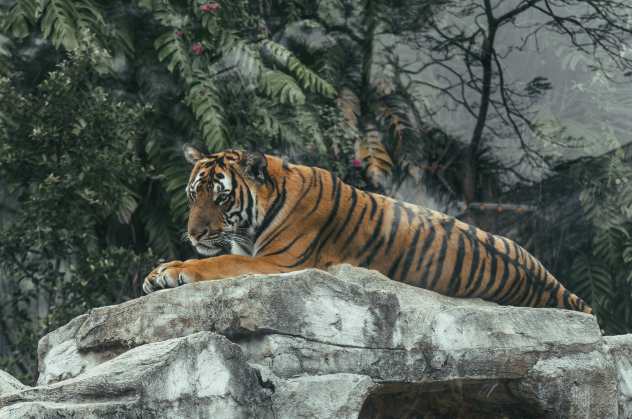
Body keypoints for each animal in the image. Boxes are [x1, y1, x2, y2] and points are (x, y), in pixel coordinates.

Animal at [141, 144, 596, 318]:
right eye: (193, 195)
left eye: (220, 198)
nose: (194, 235)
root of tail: (556, 286)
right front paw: (157, 272)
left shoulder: (282, 262)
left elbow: (219, 263)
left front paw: (176, 272)